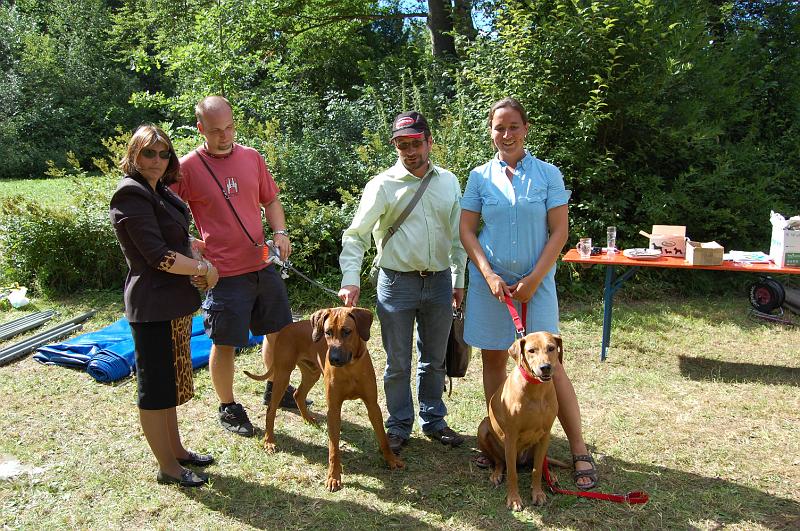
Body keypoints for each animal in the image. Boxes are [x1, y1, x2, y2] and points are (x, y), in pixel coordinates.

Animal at [244, 306, 406, 492]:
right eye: (328, 332)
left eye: (347, 331)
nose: (333, 358)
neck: (349, 367)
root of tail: (287, 328)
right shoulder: (333, 410)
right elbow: (334, 449)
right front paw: (333, 477)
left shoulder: (373, 406)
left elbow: (383, 439)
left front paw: (392, 460)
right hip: (283, 375)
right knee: (271, 409)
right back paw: (269, 441)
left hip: (312, 372)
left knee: (298, 394)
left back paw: (309, 419)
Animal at [476, 332, 564, 512]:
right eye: (531, 350)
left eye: (551, 348)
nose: (545, 367)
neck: (536, 389)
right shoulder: (511, 437)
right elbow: (512, 473)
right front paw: (514, 499)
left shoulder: (545, 435)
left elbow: (536, 470)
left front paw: (537, 493)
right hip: (484, 429)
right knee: (500, 462)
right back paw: (496, 474)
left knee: (539, 464)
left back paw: (550, 475)